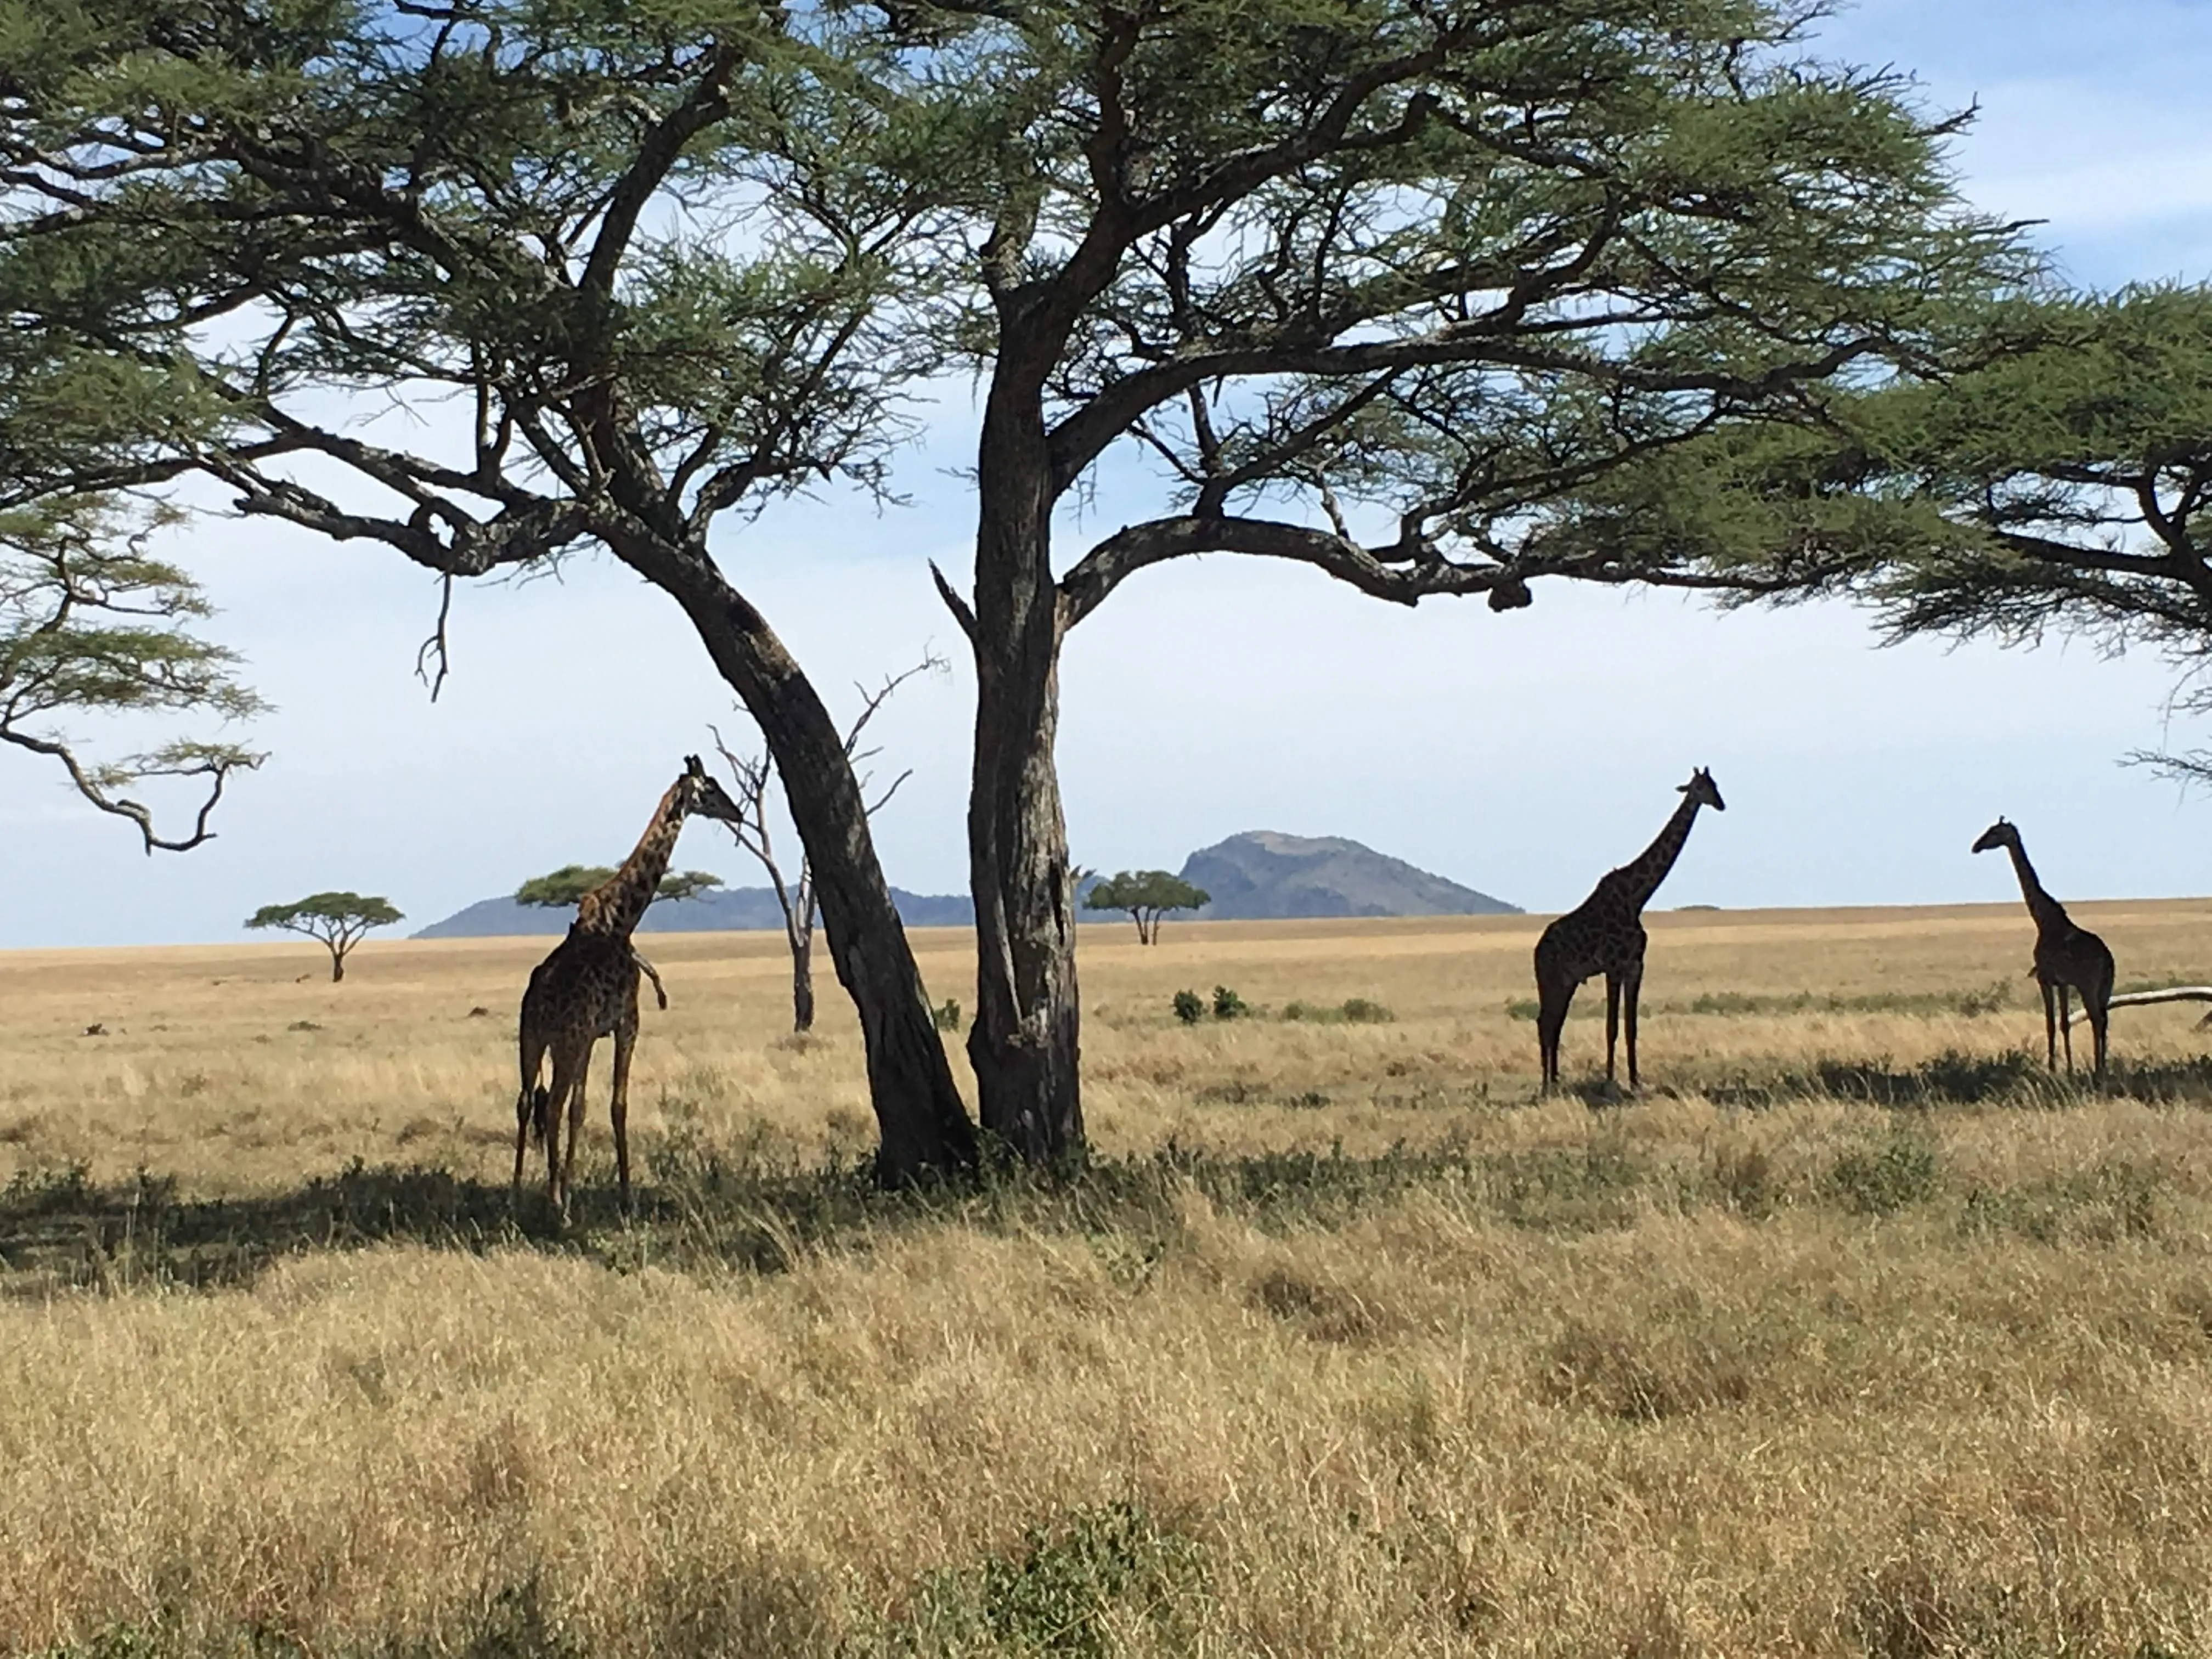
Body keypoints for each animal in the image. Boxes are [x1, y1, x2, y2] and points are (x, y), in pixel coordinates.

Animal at [514, 756, 744, 1215]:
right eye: (711, 788)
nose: (738, 813)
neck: (620, 920)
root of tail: (539, 1004)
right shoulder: (627, 1023)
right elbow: (616, 1105)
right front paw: (624, 1194)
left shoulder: (593, 1036)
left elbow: (582, 1108)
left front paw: (573, 1188)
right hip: (565, 1041)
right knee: (551, 1105)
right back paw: (555, 1206)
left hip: (532, 1039)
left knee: (527, 1102)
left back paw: (518, 1196)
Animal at [1534, 768, 1726, 1092]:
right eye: (1701, 787)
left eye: (1716, 785)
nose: (1721, 804)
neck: (1637, 898)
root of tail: (1537, 950)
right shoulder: (1613, 966)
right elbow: (1611, 1026)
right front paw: (1610, 1080)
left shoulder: (1635, 966)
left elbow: (1631, 1027)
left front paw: (1635, 1080)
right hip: (1550, 979)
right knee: (1544, 1023)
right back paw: (1547, 1084)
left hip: (1567, 981)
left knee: (1553, 1024)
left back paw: (1555, 1080)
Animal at [1971, 817, 2114, 1079]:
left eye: (1994, 832)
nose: (1975, 846)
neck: (2043, 920)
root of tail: (2108, 959)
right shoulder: (2064, 983)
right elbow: (2064, 1023)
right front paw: (2069, 1069)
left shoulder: (2045, 979)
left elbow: (2050, 1023)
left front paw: (2052, 1069)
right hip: (2105, 987)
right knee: (2105, 1020)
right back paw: (2104, 1067)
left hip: (2089, 985)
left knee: (2097, 1020)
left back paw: (2099, 1071)